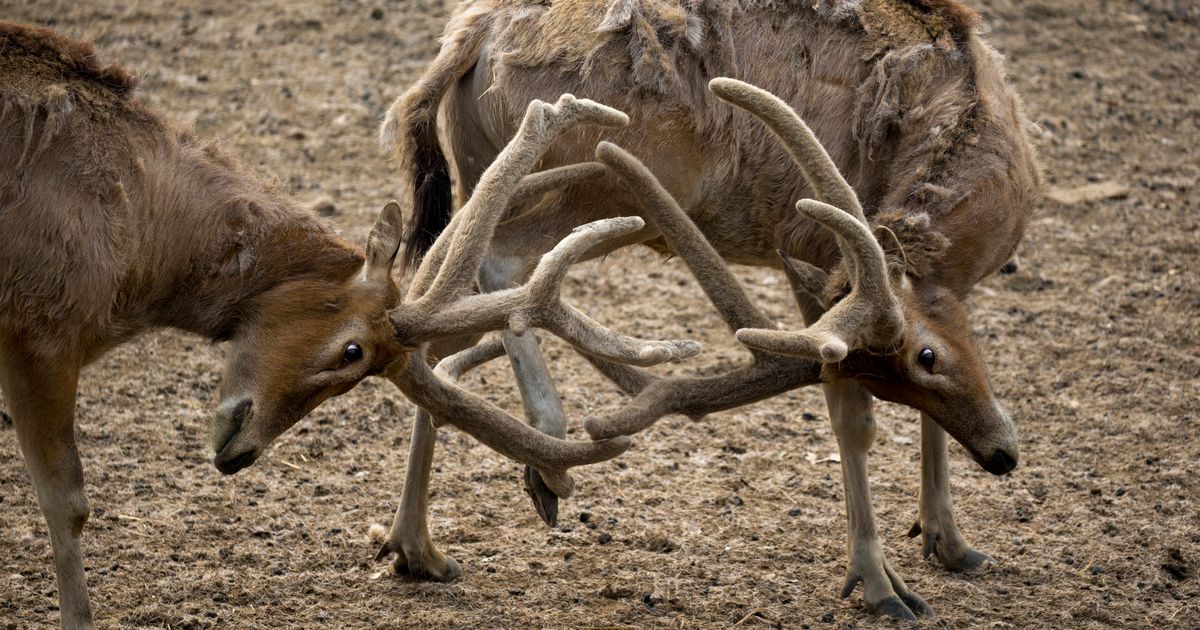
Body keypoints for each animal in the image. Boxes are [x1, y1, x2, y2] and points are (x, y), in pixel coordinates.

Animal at [381, 0, 1041, 619]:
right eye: (926, 357)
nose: (1001, 454)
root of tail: (473, 34)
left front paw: (949, 540)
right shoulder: (819, 247)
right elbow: (851, 419)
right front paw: (882, 585)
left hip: (485, 170)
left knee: (434, 297)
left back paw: (417, 546)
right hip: (602, 177)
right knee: (496, 264)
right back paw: (548, 441)